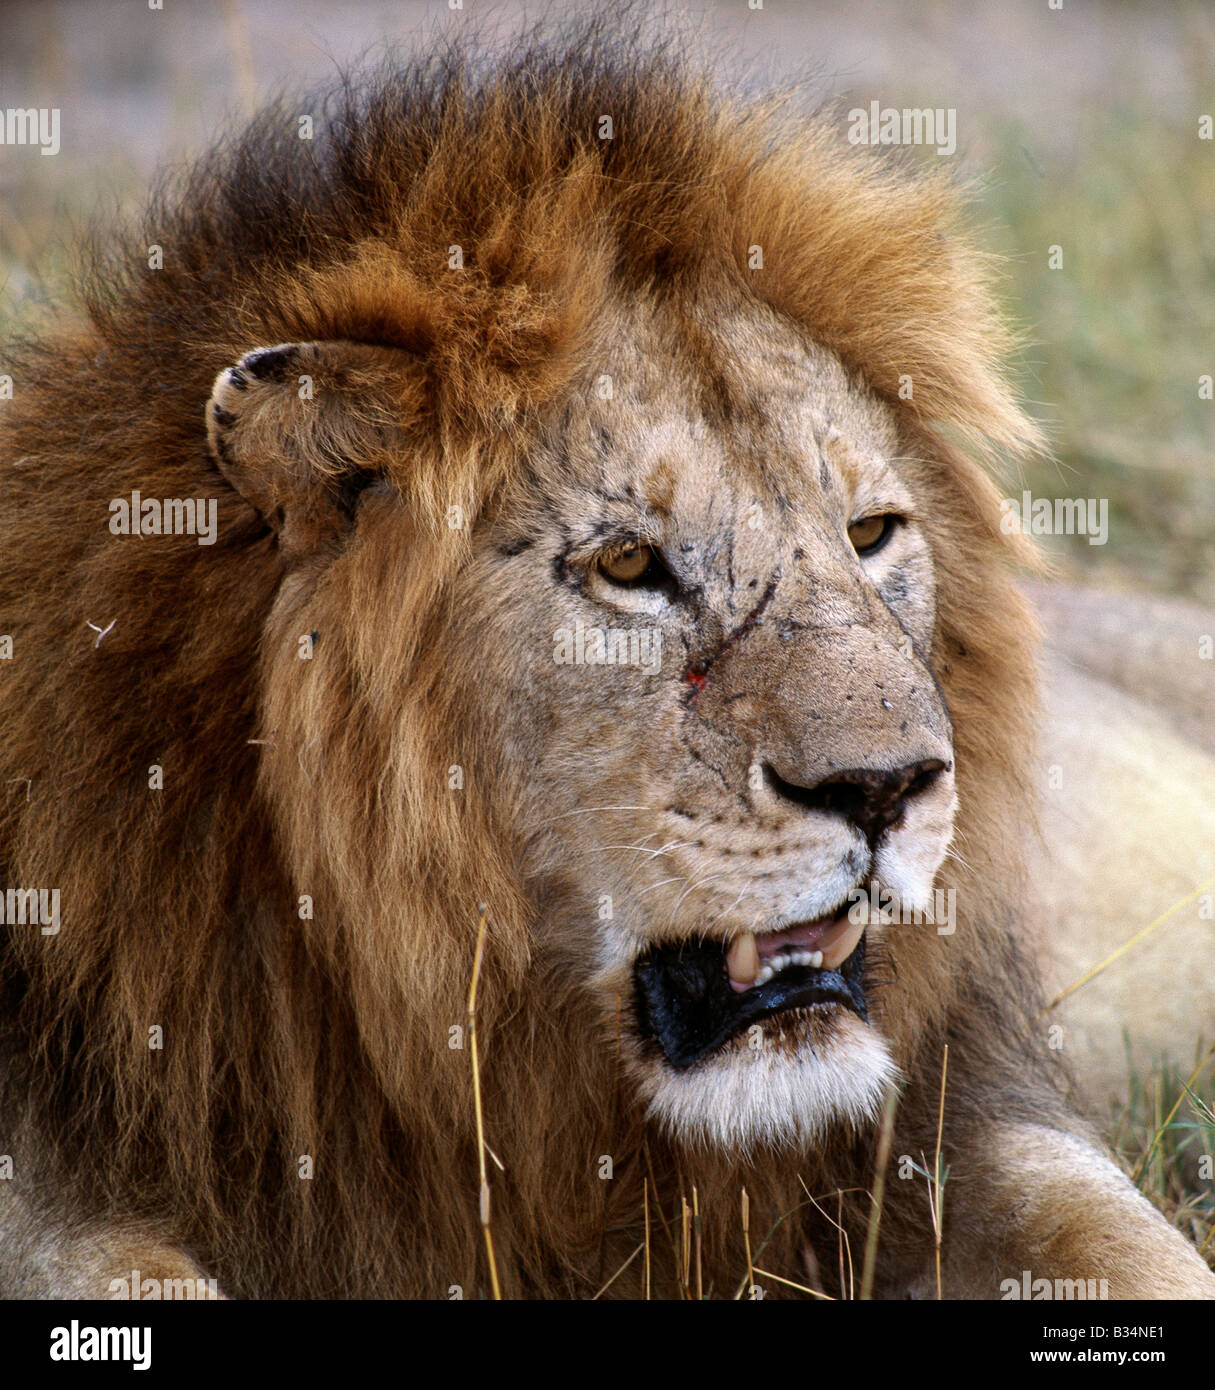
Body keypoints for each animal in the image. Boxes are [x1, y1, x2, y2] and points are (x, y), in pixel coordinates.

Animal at [0, 27, 1206, 1295]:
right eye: (628, 564)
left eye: (871, 532)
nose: (886, 790)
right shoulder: (59, 1172)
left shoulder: (960, 1108)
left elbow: (1122, 1237)